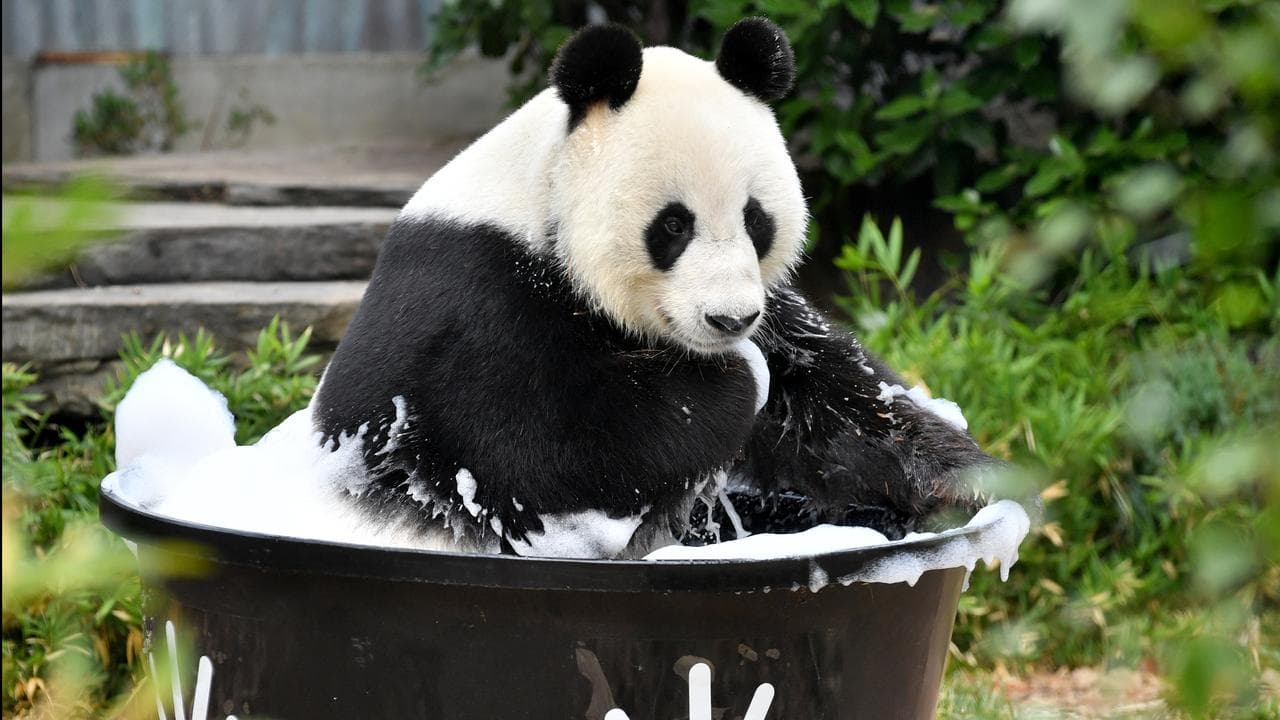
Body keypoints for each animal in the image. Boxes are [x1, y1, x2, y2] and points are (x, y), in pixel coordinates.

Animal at [312, 18, 991, 559]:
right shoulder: (473, 302)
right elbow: (532, 451)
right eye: (672, 225)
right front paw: (732, 385)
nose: (729, 321)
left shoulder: (773, 316)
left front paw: (968, 481)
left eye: (755, 219)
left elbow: (833, 402)